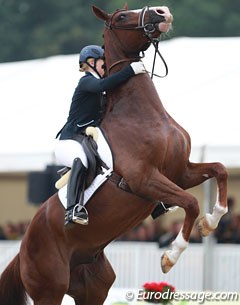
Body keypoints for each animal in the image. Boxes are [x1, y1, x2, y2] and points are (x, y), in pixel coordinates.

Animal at [0, 4, 228, 304]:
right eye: (121, 17)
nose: (162, 11)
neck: (142, 114)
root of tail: (23, 244)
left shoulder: (179, 173)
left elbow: (219, 169)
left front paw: (211, 222)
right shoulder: (144, 179)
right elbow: (190, 203)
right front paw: (170, 256)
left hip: (94, 286)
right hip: (49, 287)